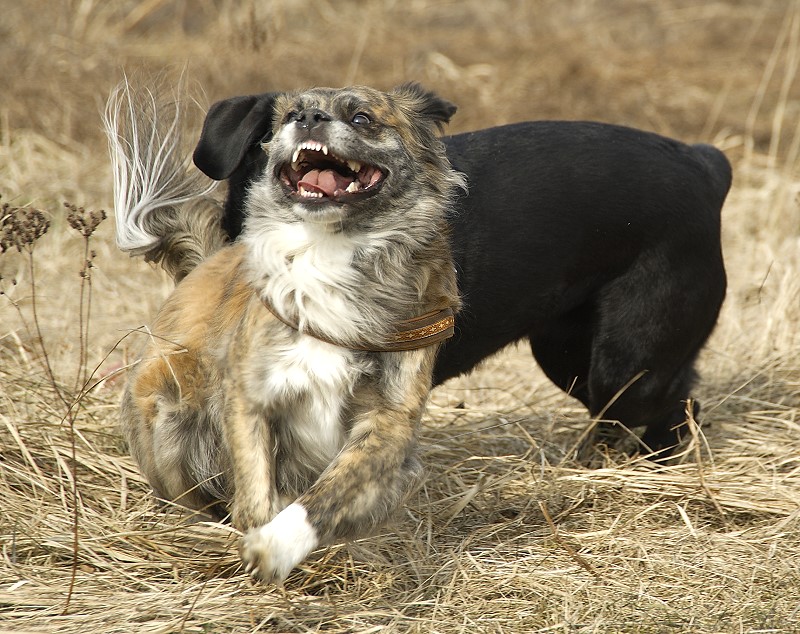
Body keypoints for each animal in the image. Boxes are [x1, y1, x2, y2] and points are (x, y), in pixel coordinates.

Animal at [194, 91, 732, 452]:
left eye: (364, 117)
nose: (308, 116)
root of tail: (704, 167)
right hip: (566, 353)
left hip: (627, 364)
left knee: (675, 402)